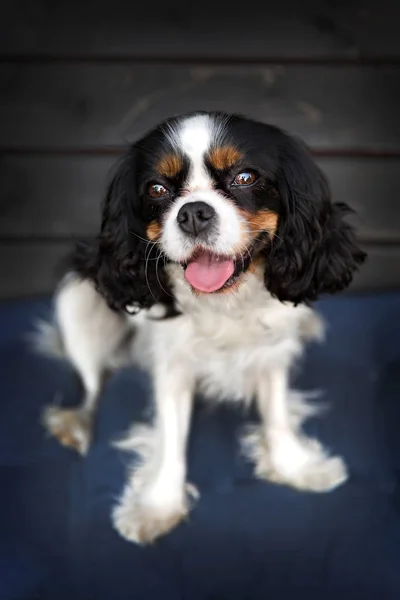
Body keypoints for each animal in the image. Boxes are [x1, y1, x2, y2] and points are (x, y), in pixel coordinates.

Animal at [40, 111, 366, 544]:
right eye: (157, 189)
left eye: (245, 177)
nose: (193, 212)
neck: (224, 301)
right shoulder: (170, 365)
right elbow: (170, 436)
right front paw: (158, 505)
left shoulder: (272, 349)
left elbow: (277, 412)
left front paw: (294, 466)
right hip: (76, 302)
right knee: (94, 385)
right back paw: (77, 424)